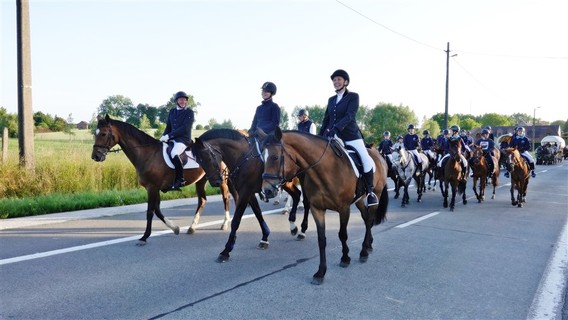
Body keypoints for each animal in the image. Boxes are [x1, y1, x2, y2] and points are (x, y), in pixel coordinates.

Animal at [90, 115, 231, 245]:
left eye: (103, 133)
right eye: (95, 134)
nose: (95, 156)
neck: (148, 154)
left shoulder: (152, 187)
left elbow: (150, 212)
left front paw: (144, 237)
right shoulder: (154, 188)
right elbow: (157, 210)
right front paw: (175, 228)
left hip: (221, 180)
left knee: (225, 198)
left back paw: (224, 224)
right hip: (201, 181)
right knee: (202, 200)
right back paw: (192, 227)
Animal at [190, 127, 306, 262]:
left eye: (208, 157)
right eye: (199, 161)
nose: (216, 182)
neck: (243, 158)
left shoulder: (245, 192)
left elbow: (236, 220)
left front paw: (226, 250)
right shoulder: (248, 193)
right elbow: (258, 213)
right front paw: (264, 238)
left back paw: (302, 230)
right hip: (287, 183)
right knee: (297, 195)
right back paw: (293, 227)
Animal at [260, 128, 388, 284]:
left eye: (275, 157)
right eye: (262, 157)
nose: (267, 191)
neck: (326, 170)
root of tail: (378, 155)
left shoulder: (344, 208)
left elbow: (342, 234)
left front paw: (345, 258)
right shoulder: (317, 209)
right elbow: (321, 240)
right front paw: (321, 272)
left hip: (376, 193)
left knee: (369, 220)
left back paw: (364, 251)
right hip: (359, 200)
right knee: (365, 218)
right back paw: (369, 244)